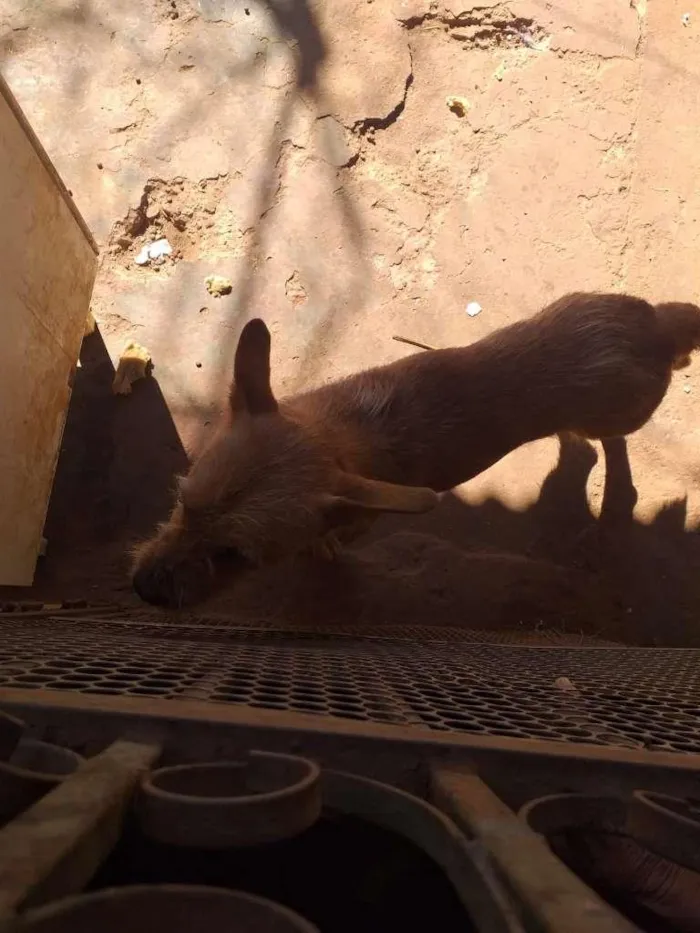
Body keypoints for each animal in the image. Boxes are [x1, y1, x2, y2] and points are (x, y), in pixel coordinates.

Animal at [131, 294, 700, 612]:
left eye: (235, 556)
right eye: (183, 504)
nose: (140, 590)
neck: (336, 435)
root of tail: (654, 324)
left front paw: (323, 547)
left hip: (616, 417)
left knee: (612, 445)